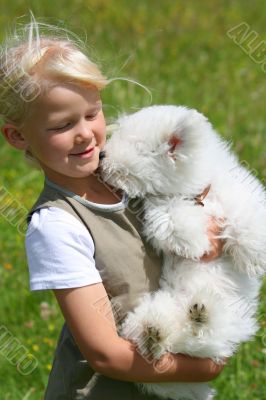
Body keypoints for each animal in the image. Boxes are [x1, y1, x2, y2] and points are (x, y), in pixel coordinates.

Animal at [100, 105, 266, 400]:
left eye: (135, 146)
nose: (101, 155)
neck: (197, 194)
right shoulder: (163, 209)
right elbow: (176, 221)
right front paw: (197, 239)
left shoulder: (239, 194)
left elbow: (247, 218)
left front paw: (252, 256)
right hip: (152, 315)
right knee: (167, 345)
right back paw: (158, 333)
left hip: (228, 321)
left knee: (204, 336)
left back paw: (198, 315)